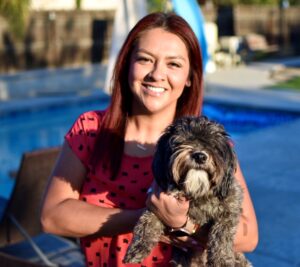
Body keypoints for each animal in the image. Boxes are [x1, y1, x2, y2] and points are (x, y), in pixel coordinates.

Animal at [123, 117, 252, 267]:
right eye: (183, 141)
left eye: (213, 145)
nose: (200, 156)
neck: (197, 192)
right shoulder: (158, 205)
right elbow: (147, 221)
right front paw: (137, 248)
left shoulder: (230, 207)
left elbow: (223, 234)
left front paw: (222, 260)